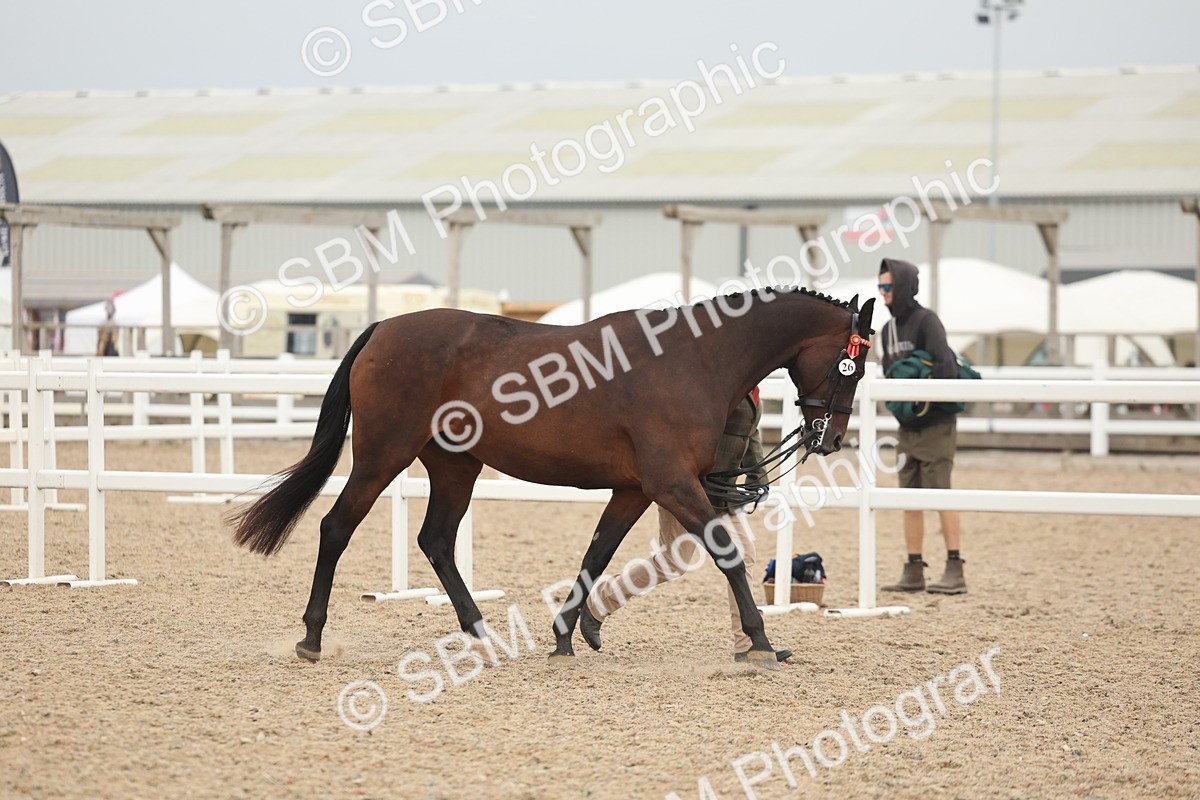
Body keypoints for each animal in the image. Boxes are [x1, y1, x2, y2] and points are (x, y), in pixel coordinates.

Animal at [230, 286, 875, 668]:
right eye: (854, 363)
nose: (830, 438)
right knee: (336, 528)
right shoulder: (671, 485)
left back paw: (481, 635)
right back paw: (312, 638)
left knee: (436, 540)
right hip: (381, 456)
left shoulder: (634, 490)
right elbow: (728, 556)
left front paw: (568, 633)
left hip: (456, 466)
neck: (693, 360)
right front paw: (761, 640)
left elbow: (598, 553)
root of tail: (383, 329)